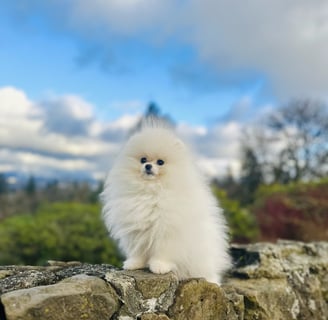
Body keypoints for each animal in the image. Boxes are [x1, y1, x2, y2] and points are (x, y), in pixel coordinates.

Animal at [100, 119, 231, 282]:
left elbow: (163, 251)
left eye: (160, 162)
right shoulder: (136, 231)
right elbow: (139, 251)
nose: (148, 166)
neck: (151, 192)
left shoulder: (167, 231)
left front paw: (159, 266)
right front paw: (134, 263)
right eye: (143, 159)